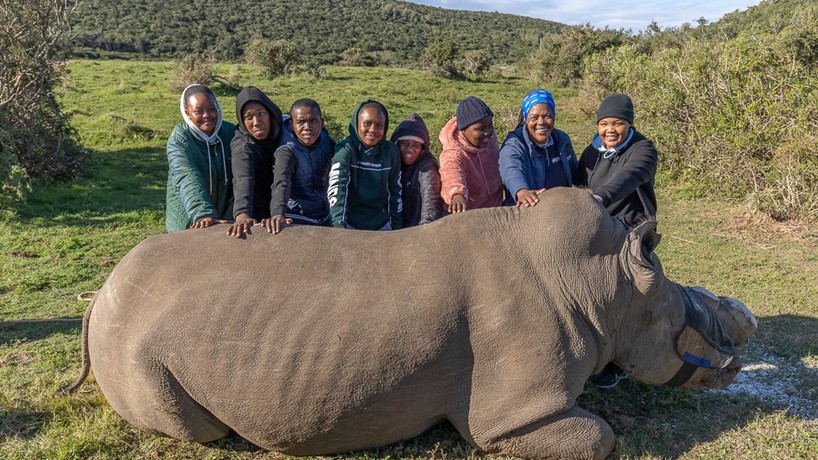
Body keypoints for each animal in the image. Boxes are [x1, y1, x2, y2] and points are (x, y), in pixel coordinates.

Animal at [61, 187, 757, 460]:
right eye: (691, 319)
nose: (740, 347)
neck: (606, 283)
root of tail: (102, 291)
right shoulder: (516, 413)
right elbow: (598, 437)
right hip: (136, 344)